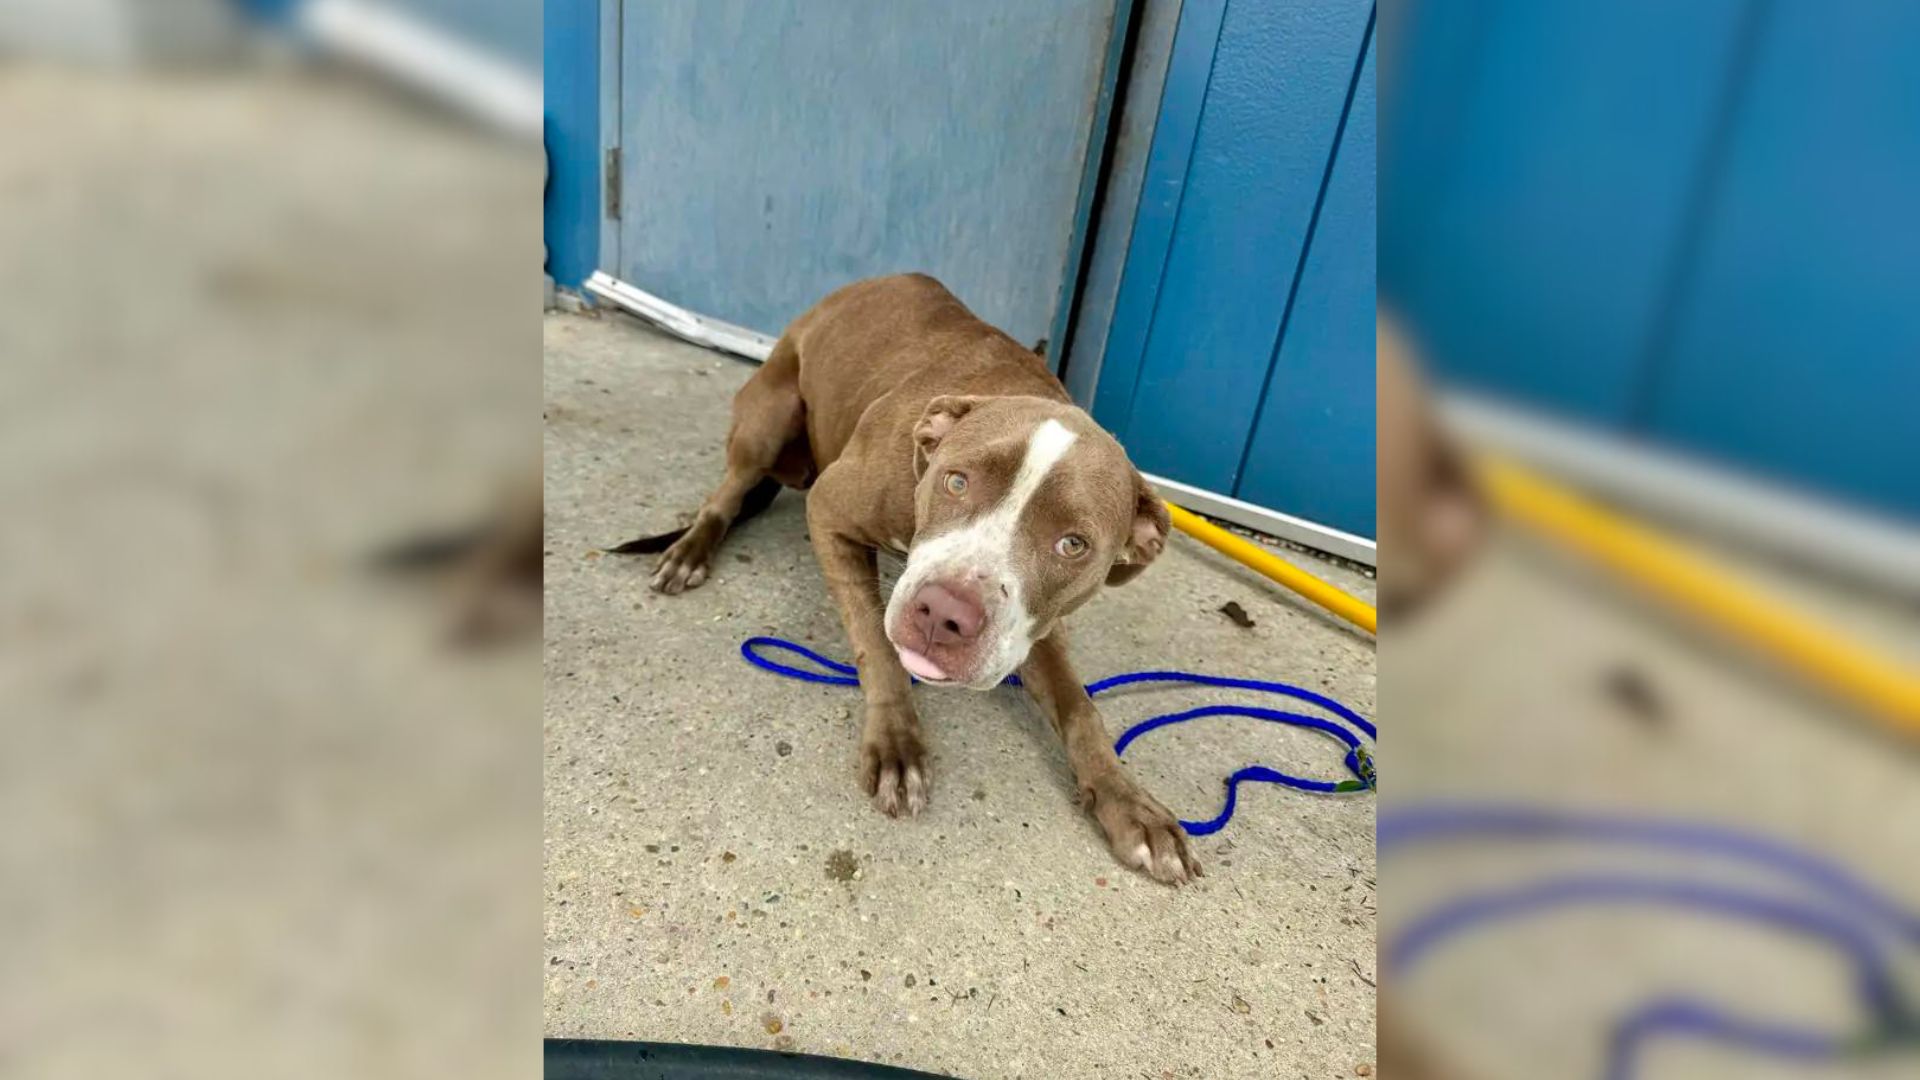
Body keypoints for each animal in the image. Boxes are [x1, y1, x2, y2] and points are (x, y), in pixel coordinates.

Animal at [629, 272, 1190, 880]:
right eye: (956, 482)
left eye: (1073, 544)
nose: (944, 615)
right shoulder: (829, 513)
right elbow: (875, 642)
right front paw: (897, 741)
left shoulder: (1038, 627)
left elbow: (1081, 708)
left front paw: (1128, 800)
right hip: (768, 418)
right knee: (725, 496)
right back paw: (689, 552)